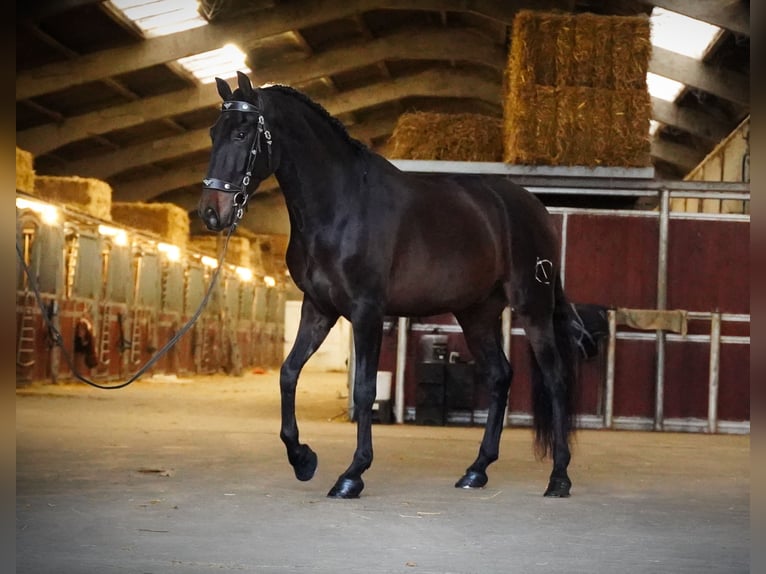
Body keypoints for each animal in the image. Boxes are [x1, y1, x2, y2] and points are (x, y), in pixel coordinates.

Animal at [200, 72, 584, 502]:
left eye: (242, 132)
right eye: (214, 132)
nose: (212, 213)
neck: (342, 205)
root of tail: (536, 209)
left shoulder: (367, 311)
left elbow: (365, 391)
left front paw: (352, 475)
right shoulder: (319, 308)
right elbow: (288, 373)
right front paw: (303, 459)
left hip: (533, 307)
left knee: (555, 378)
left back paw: (559, 477)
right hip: (476, 314)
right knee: (500, 375)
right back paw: (476, 470)